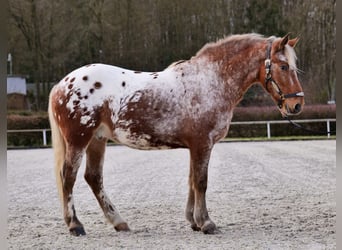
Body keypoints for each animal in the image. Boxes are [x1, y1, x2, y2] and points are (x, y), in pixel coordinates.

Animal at [48, 32, 304, 235]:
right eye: (284, 67)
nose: (297, 106)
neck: (210, 81)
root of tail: (62, 84)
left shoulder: (195, 146)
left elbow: (191, 180)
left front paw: (194, 221)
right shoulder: (202, 144)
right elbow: (201, 181)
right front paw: (206, 223)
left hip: (97, 140)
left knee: (94, 178)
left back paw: (119, 222)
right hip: (79, 140)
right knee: (68, 176)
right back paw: (75, 225)